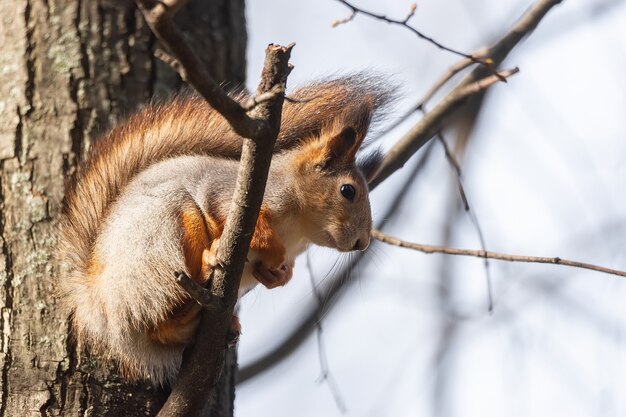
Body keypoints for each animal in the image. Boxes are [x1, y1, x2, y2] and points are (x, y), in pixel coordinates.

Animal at [57, 74, 390, 384]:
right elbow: (232, 217)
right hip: (165, 234)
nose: (362, 242)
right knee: (162, 314)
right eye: (348, 191)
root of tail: (100, 307)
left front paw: (279, 275)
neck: (298, 233)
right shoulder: (226, 193)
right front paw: (271, 247)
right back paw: (206, 268)